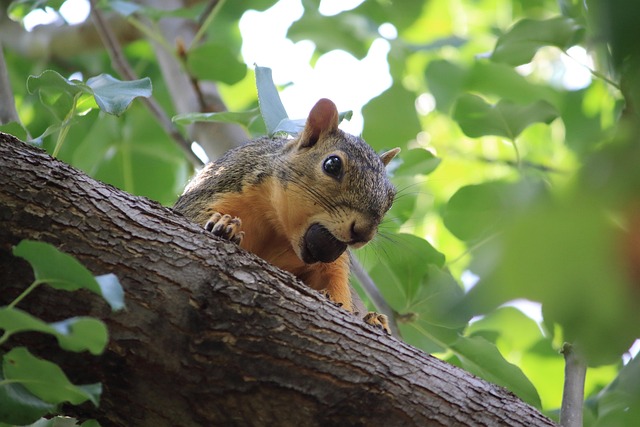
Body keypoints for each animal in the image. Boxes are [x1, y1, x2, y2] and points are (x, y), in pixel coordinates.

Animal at [174, 98, 400, 333]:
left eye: (390, 199)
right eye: (332, 164)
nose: (364, 233)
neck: (278, 227)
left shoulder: (333, 265)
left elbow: (338, 291)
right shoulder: (218, 188)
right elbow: (191, 216)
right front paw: (224, 225)